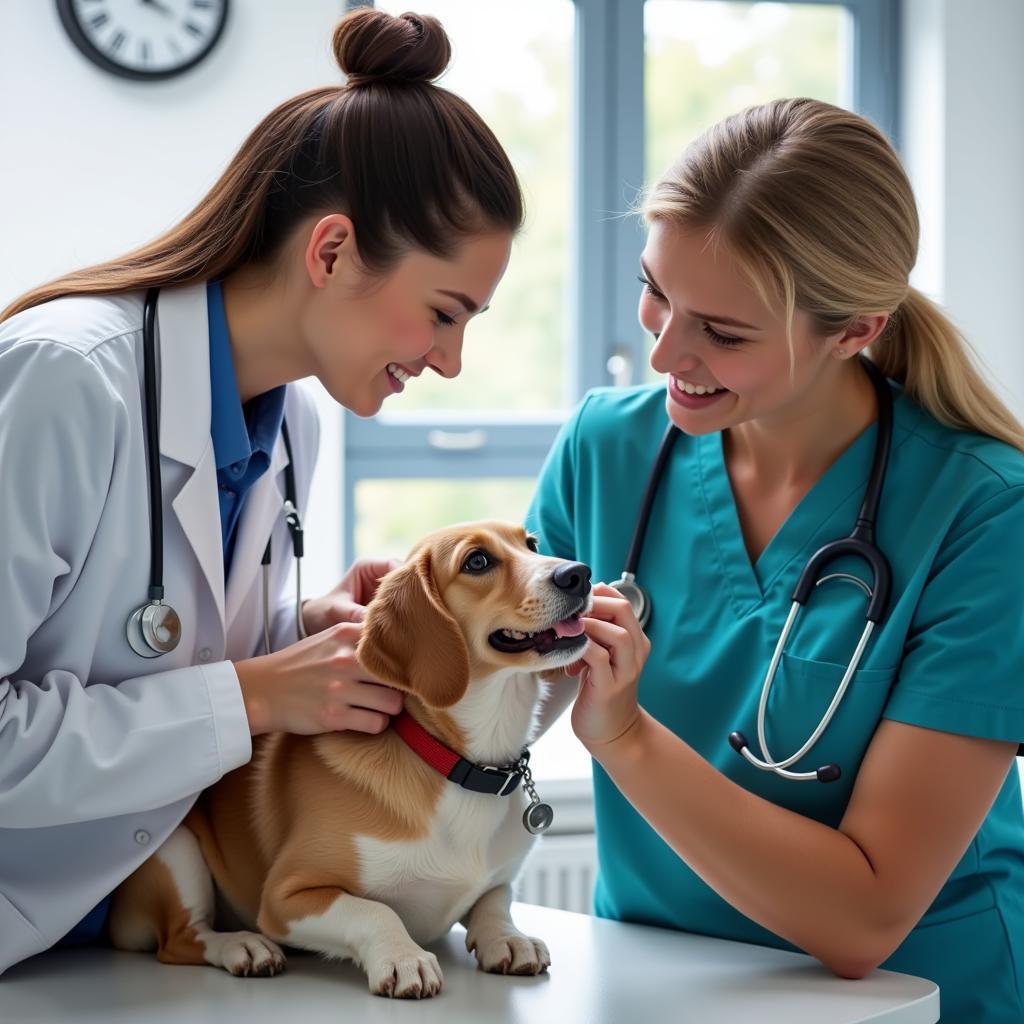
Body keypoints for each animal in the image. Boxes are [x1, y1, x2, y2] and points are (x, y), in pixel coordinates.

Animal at [108, 524, 593, 995]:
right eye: (477, 561)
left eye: (532, 544)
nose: (579, 574)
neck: (457, 764)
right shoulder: (288, 896)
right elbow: (375, 911)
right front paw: (403, 957)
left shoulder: (497, 879)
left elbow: (495, 900)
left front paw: (507, 938)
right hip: (177, 849)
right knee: (181, 939)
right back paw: (241, 945)